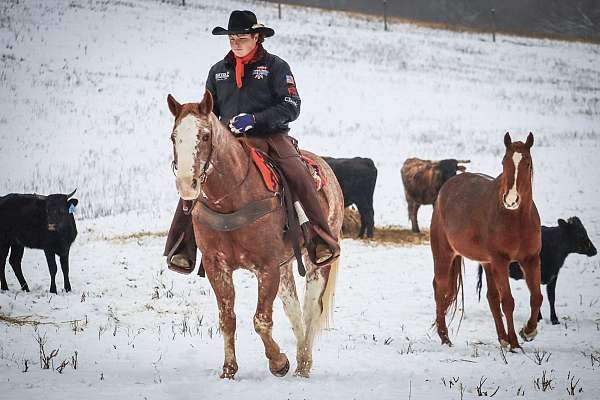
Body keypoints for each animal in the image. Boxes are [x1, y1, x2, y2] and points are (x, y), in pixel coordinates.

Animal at [166, 90, 344, 378]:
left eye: (205, 135)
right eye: (174, 136)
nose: (186, 184)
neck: (231, 198)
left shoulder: (267, 267)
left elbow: (261, 320)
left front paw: (279, 362)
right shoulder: (218, 266)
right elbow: (227, 319)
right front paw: (229, 370)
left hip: (317, 262)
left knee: (310, 310)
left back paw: (303, 364)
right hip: (285, 268)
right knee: (294, 310)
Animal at [428, 132, 540, 350]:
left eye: (527, 162)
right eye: (504, 161)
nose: (511, 200)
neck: (516, 219)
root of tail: (445, 188)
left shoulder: (531, 259)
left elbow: (536, 298)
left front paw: (528, 331)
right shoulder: (501, 261)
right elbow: (508, 301)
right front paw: (515, 343)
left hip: (487, 263)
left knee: (491, 297)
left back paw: (502, 338)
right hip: (444, 254)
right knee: (440, 288)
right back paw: (445, 338)